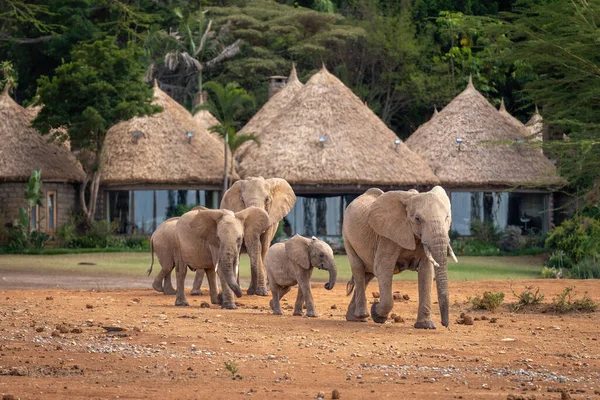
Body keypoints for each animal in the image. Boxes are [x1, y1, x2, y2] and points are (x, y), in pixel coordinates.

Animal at [344, 188, 458, 328]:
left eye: (447, 217)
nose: (445, 324)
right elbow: (383, 268)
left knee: (368, 275)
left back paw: (355, 318)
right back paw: (362, 315)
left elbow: (426, 271)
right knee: (359, 270)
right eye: (417, 219)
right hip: (347, 236)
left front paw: (426, 326)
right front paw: (376, 314)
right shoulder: (387, 237)